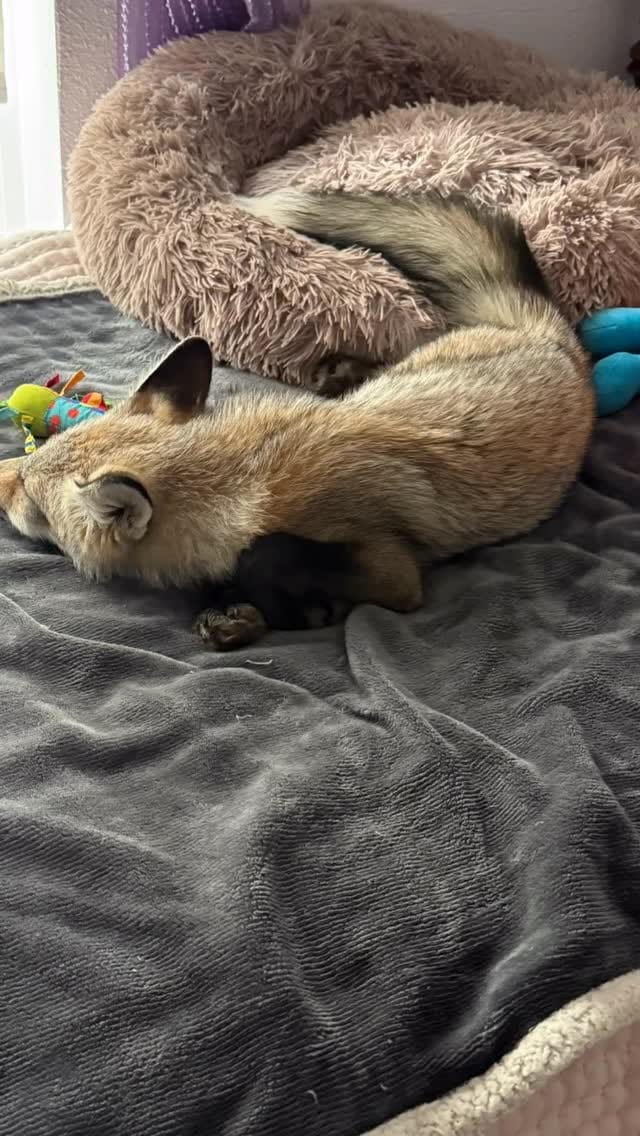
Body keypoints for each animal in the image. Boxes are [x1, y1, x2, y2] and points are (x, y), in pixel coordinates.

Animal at [0, 190, 594, 649]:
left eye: (28, 496)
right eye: (33, 462)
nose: (3, 471)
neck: (246, 478)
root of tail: (548, 333)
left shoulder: (394, 574)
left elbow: (265, 554)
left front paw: (288, 609)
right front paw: (254, 614)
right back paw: (340, 372)